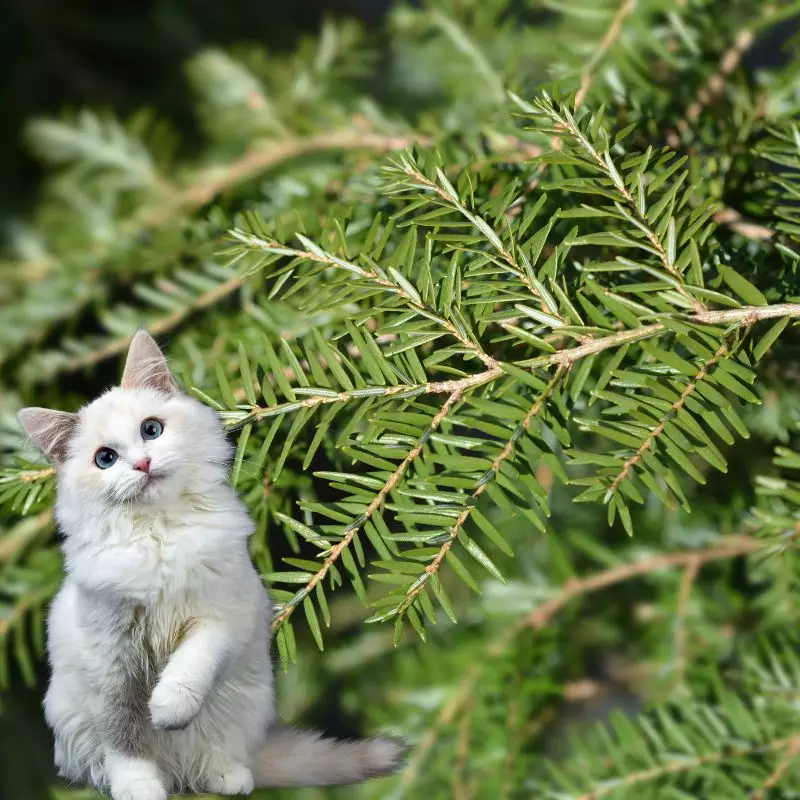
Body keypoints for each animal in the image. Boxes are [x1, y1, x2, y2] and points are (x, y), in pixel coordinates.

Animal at [17, 330, 406, 800]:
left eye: (151, 430)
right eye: (105, 459)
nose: (143, 464)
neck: (161, 534)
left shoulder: (221, 616)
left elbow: (190, 668)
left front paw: (167, 710)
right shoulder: (111, 660)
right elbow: (125, 738)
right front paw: (139, 787)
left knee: (222, 755)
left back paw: (227, 777)